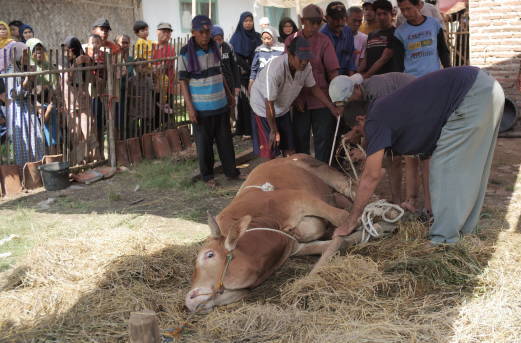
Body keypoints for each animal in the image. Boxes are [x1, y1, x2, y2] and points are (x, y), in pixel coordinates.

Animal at [186, 155, 366, 314]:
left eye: (209, 255)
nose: (189, 300)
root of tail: (287, 157)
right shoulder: (296, 247)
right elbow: (337, 242)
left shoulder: (301, 199)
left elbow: (343, 218)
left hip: (328, 174)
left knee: (351, 188)